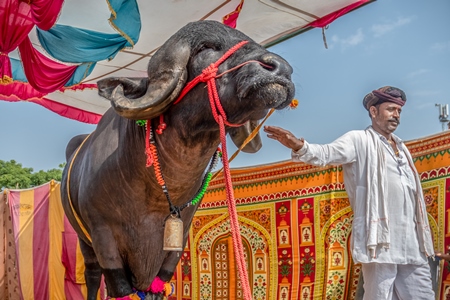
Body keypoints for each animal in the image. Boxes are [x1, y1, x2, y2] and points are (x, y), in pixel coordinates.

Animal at [60, 19, 296, 298]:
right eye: (206, 47)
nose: (281, 69)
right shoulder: (102, 233)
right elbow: (119, 285)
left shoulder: (179, 236)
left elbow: (159, 284)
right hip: (84, 242)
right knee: (93, 276)